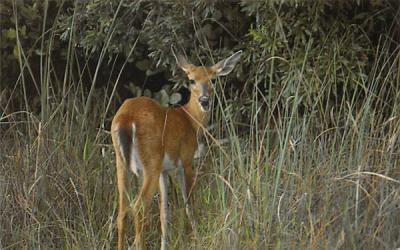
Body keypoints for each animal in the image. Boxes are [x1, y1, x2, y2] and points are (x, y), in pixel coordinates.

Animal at [110, 47, 241, 249]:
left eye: (212, 80)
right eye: (191, 80)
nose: (204, 100)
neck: (190, 120)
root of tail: (126, 119)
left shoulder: (165, 170)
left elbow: (165, 213)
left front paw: (165, 245)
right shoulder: (185, 162)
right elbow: (189, 205)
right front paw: (198, 238)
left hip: (121, 162)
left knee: (122, 210)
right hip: (151, 162)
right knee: (139, 206)